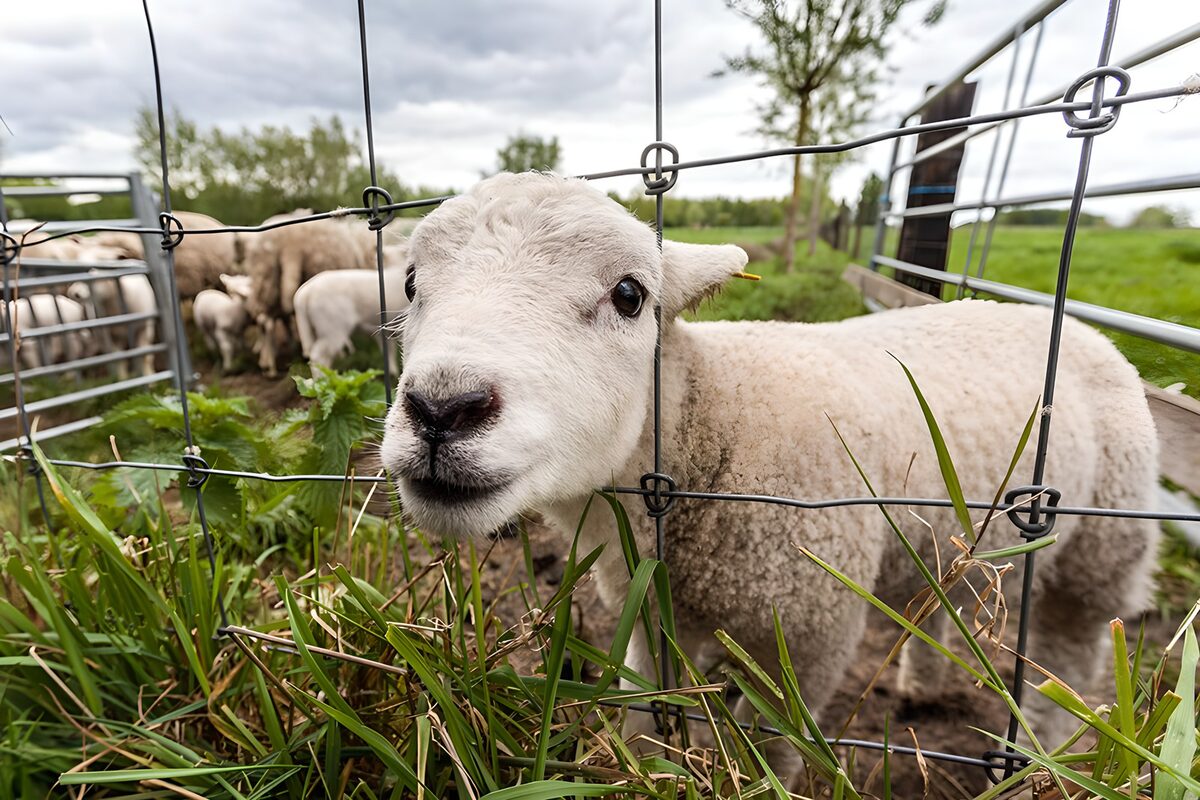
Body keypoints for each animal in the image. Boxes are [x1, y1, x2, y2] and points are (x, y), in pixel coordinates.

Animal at [379, 173, 1160, 774]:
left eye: (630, 295)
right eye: (411, 284)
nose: (441, 408)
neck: (714, 430)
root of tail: (1072, 325)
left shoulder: (813, 630)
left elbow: (783, 744)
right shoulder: (655, 609)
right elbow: (648, 714)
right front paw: (651, 765)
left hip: (1101, 552)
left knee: (1070, 652)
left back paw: (1042, 759)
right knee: (940, 597)